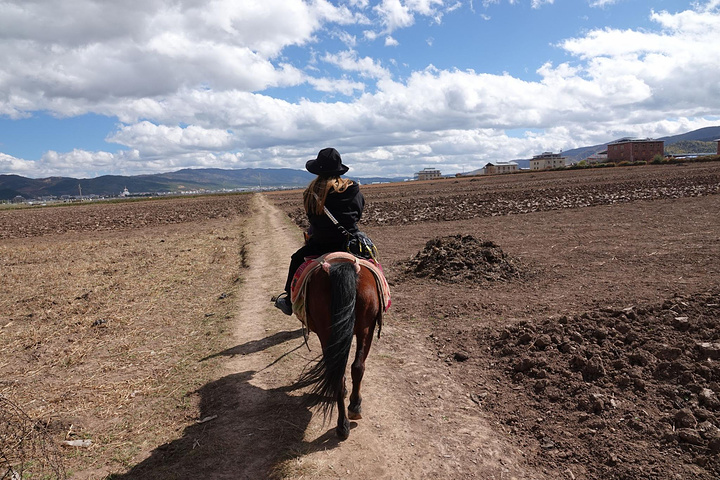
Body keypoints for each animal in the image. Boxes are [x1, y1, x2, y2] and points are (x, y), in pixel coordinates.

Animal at [298, 260, 386, 440]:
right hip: (365, 328)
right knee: (355, 367)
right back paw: (352, 412)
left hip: (336, 331)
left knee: (343, 372)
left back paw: (344, 423)